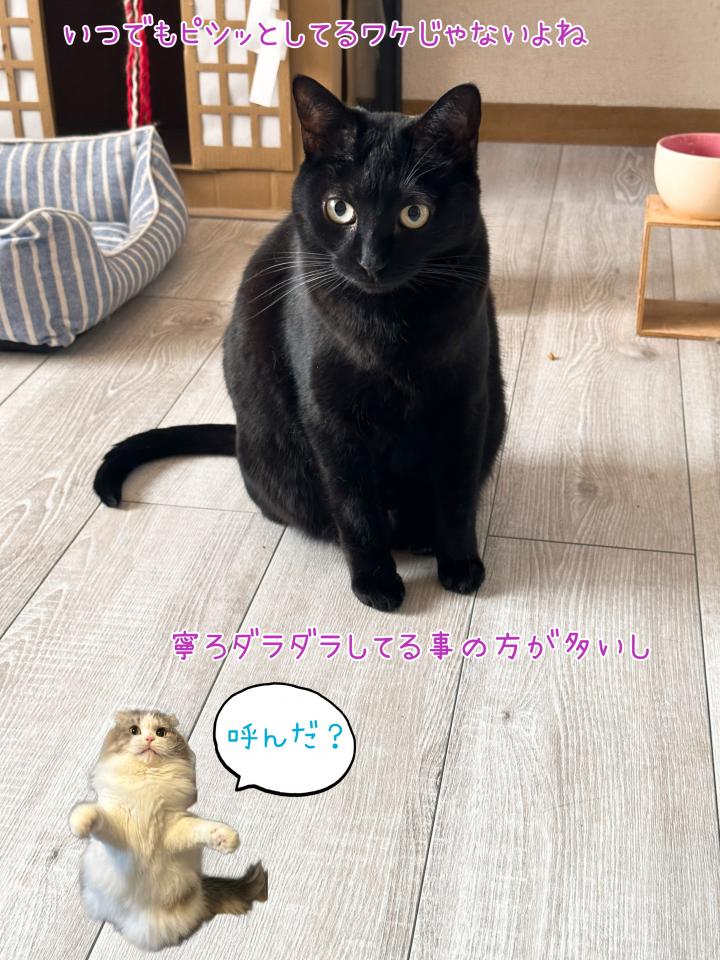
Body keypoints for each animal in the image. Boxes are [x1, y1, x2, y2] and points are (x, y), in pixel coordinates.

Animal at [69, 711, 267, 951]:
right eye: (134, 730)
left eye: (160, 732)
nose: (149, 739)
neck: (147, 781)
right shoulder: (120, 828)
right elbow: (98, 816)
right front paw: (81, 821)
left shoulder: (173, 827)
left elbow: (202, 828)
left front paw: (224, 838)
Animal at [93, 75, 506, 612]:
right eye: (340, 209)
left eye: (415, 214)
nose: (370, 261)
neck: (387, 326)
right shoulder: (330, 419)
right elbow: (355, 507)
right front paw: (375, 582)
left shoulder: (463, 404)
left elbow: (456, 495)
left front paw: (459, 564)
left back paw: (421, 536)